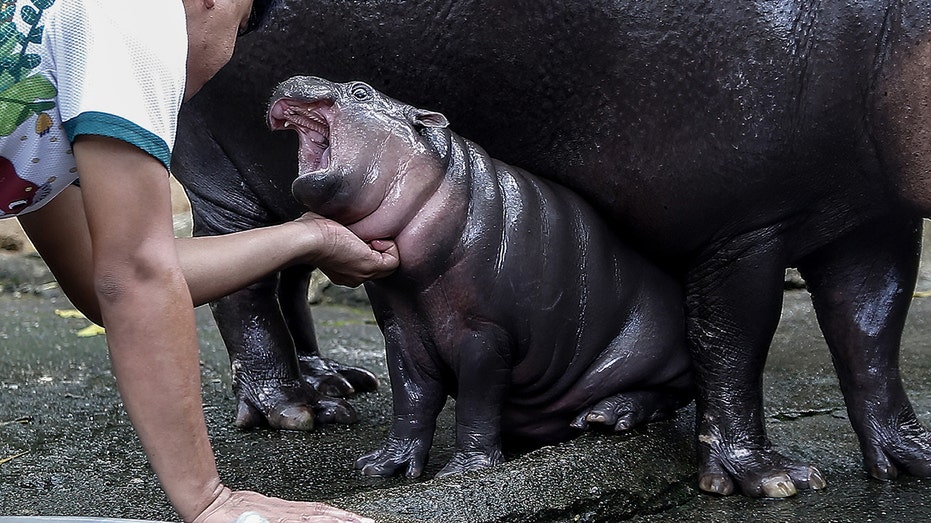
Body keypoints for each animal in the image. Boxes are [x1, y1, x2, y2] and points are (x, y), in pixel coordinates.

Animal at [268, 75, 692, 482]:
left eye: (360, 91)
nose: (291, 79)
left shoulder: (485, 334)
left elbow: (477, 400)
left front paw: (465, 470)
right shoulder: (401, 329)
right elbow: (411, 397)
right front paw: (382, 465)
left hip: (652, 351)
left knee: (669, 394)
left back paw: (606, 416)